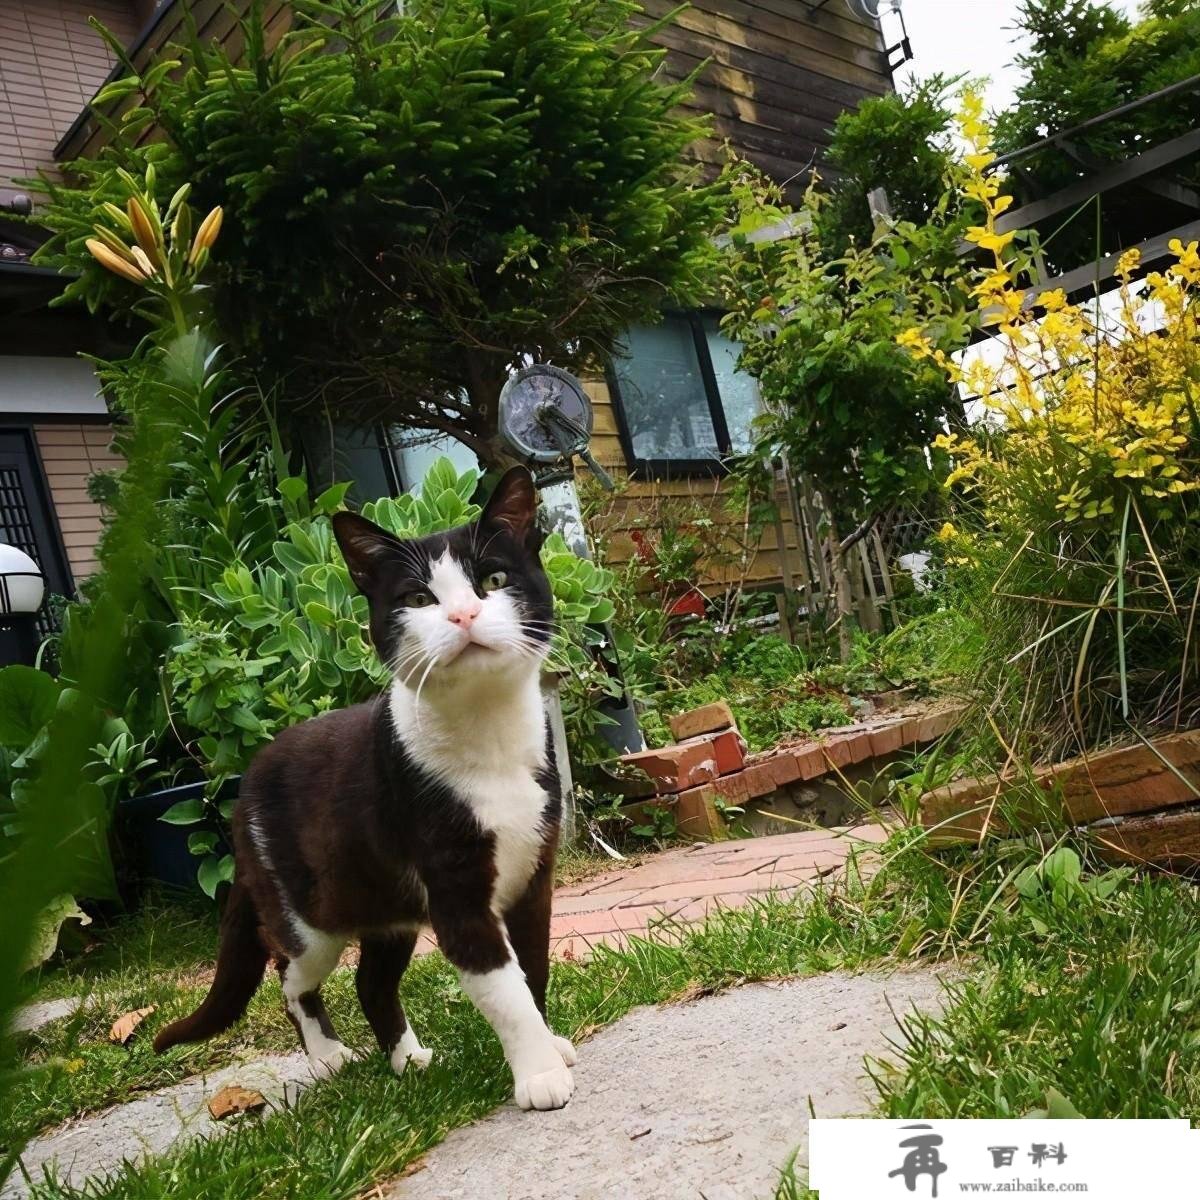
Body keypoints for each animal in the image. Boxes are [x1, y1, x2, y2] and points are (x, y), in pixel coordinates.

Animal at [153, 468, 576, 1113]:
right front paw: (539, 1075)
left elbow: (534, 968)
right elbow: (506, 990)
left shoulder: (535, 872)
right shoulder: (454, 889)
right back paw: (329, 1056)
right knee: (289, 973)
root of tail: (243, 789)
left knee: (370, 981)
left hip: (386, 905)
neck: (490, 739)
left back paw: (409, 1060)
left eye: (494, 580)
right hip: (308, 916)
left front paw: (551, 1045)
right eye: (419, 600)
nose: (462, 616)